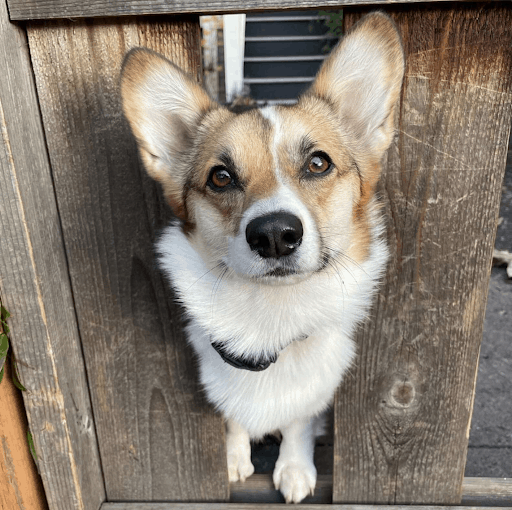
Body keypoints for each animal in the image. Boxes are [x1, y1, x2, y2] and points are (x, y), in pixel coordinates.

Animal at [121, 12, 404, 506]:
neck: (270, 315)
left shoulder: (310, 393)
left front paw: (294, 468)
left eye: (318, 164)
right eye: (220, 177)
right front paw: (235, 458)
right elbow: (234, 417)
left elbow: (297, 422)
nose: (274, 235)